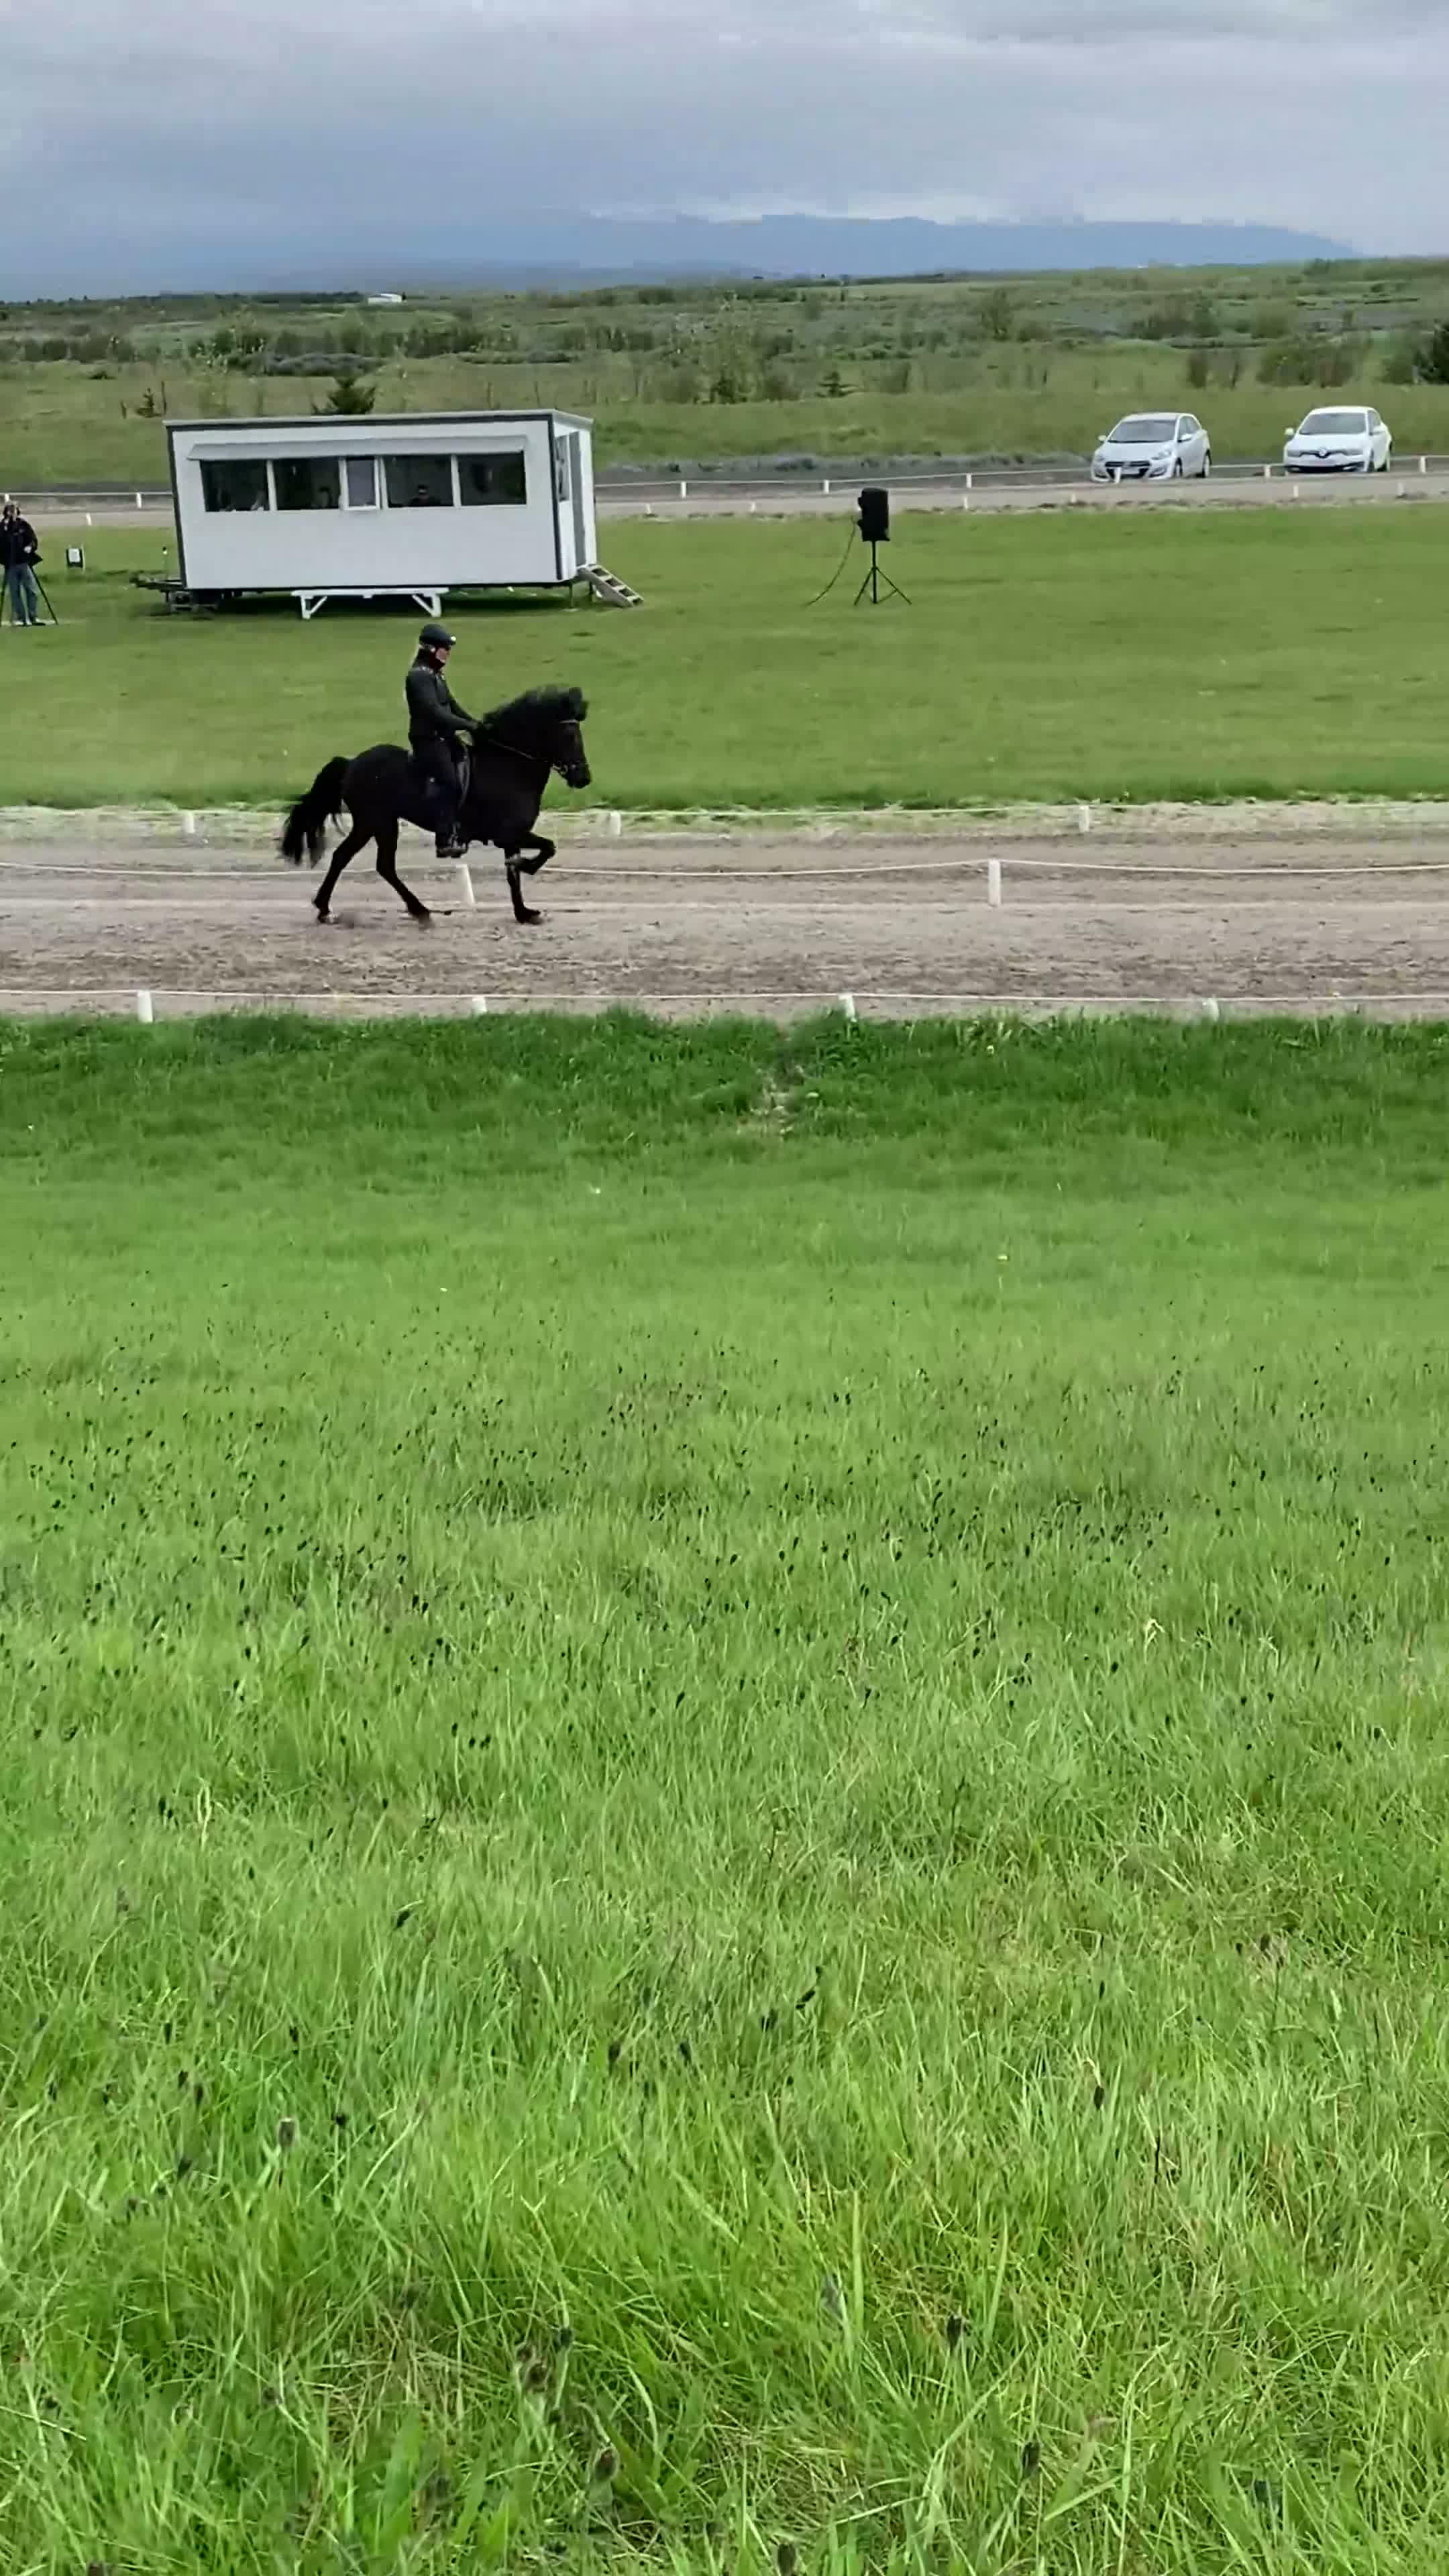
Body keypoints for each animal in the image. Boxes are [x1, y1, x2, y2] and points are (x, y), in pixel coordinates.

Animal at [279, 684, 591, 926]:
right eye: (570, 736)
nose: (584, 778)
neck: (507, 766)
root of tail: (352, 762)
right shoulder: (509, 834)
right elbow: (546, 849)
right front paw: (527, 867)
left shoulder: (512, 837)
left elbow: (515, 874)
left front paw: (524, 912)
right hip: (378, 822)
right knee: (373, 863)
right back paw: (417, 911)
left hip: (374, 824)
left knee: (354, 860)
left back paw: (328, 909)